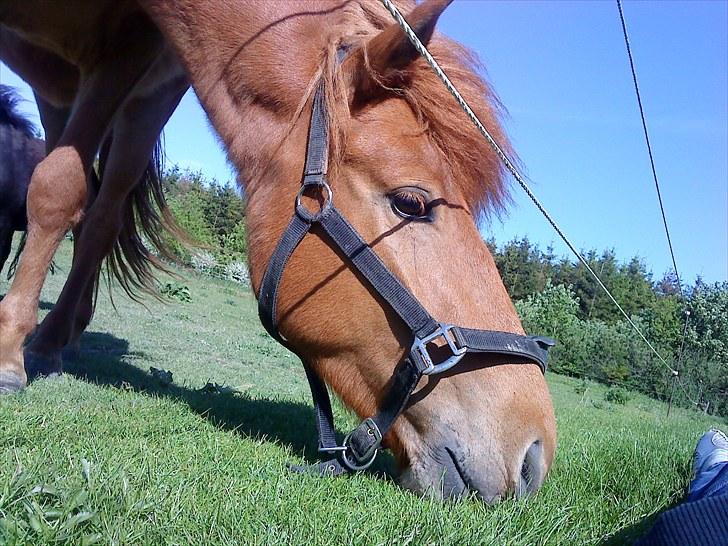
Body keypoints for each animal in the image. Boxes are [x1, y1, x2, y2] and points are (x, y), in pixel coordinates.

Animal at [0, 0, 556, 500]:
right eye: (412, 203)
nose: (534, 455)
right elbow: (56, 188)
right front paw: (10, 356)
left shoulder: (132, 50)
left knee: (102, 211)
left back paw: (57, 338)